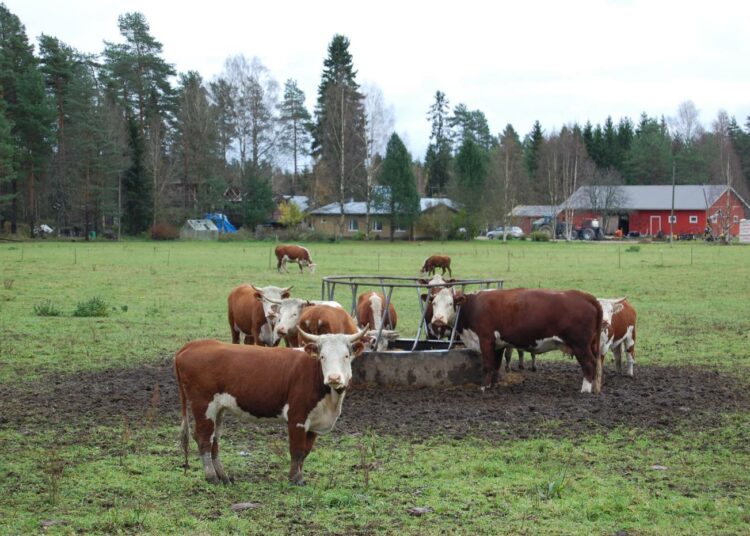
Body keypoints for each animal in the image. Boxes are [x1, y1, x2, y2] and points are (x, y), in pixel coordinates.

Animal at [173, 326, 368, 486]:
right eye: (322, 356)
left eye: (346, 356)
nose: (334, 378)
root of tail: (192, 345)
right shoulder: (297, 417)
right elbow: (297, 450)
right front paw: (295, 479)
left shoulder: (314, 422)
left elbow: (305, 451)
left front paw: (298, 476)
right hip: (203, 405)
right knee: (203, 438)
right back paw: (211, 477)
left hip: (218, 410)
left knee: (215, 439)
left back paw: (223, 476)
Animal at [428, 286, 604, 396]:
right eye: (434, 303)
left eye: (450, 303)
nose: (438, 320)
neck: (472, 306)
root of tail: (584, 296)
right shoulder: (497, 344)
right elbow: (495, 365)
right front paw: (492, 385)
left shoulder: (485, 339)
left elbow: (487, 365)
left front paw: (483, 387)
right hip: (590, 344)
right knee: (595, 364)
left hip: (580, 345)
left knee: (589, 364)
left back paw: (585, 390)